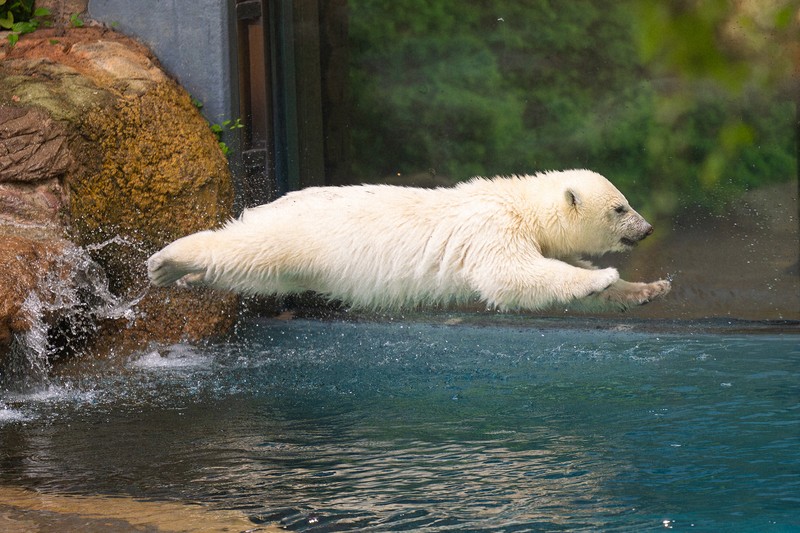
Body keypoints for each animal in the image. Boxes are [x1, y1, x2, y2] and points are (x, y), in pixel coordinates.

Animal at [147, 169, 670, 312]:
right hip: (296, 236)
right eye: (621, 207)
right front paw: (605, 276)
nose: (647, 229)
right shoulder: (492, 229)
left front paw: (649, 288)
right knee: (242, 249)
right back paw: (166, 261)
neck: (518, 205)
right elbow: (508, 277)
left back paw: (187, 280)